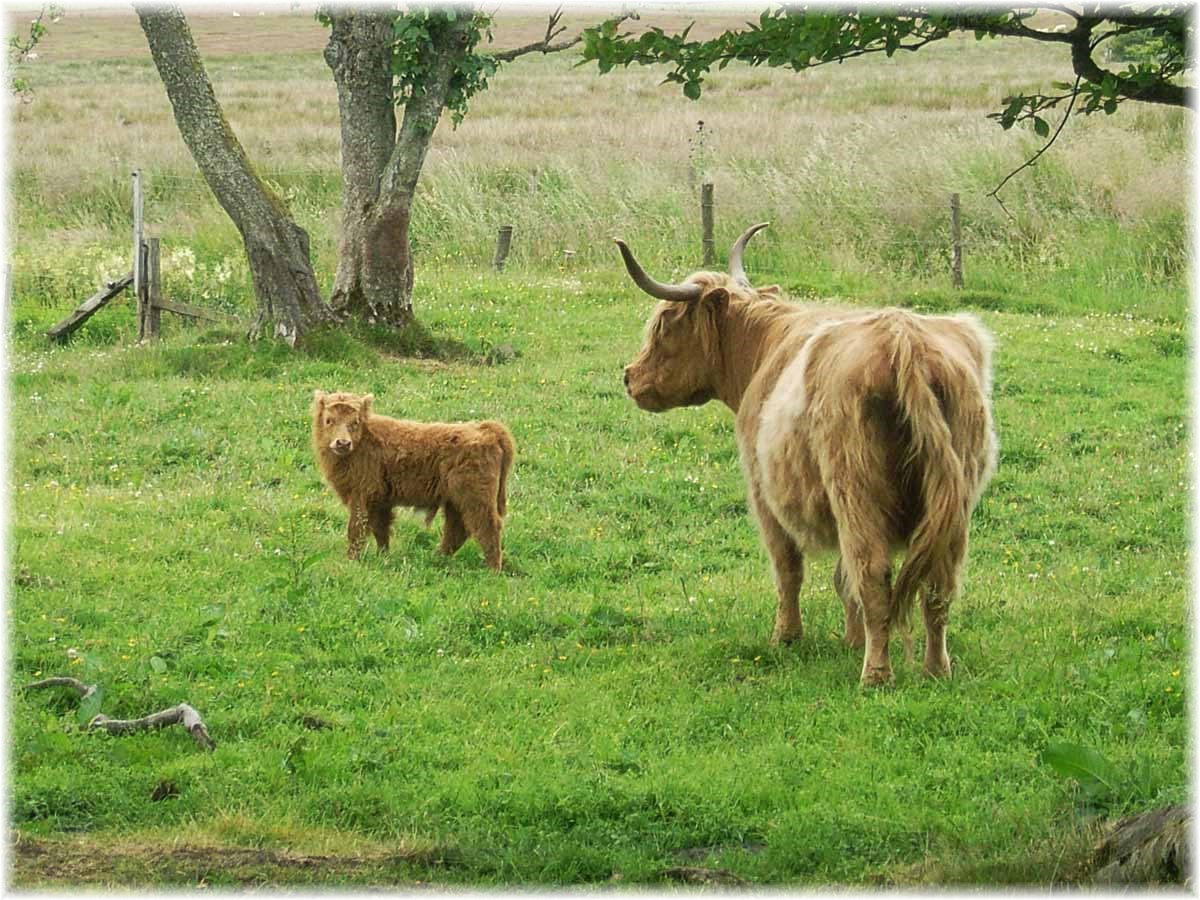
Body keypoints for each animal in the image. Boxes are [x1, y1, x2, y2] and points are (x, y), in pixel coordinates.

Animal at [312, 391, 513, 573]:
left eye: (355, 422)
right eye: (329, 420)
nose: (342, 443)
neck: (364, 440)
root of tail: (485, 430)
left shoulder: (361, 496)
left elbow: (356, 529)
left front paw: (351, 560)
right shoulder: (380, 502)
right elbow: (381, 529)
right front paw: (383, 556)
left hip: (476, 499)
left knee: (488, 528)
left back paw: (492, 570)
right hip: (455, 502)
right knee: (456, 530)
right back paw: (436, 559)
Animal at [614, 224, 998, 681]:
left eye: (665, 324)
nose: (629, 377)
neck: (762, 350)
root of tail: (902, 339)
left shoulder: (762, 492)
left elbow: (789, 569)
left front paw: (786, 637)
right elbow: (842, 578)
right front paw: (850, 640)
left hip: (856, 490)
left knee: (873, 574)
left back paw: (875, 675)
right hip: (954, 502)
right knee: (937, 587)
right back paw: (935, 669)